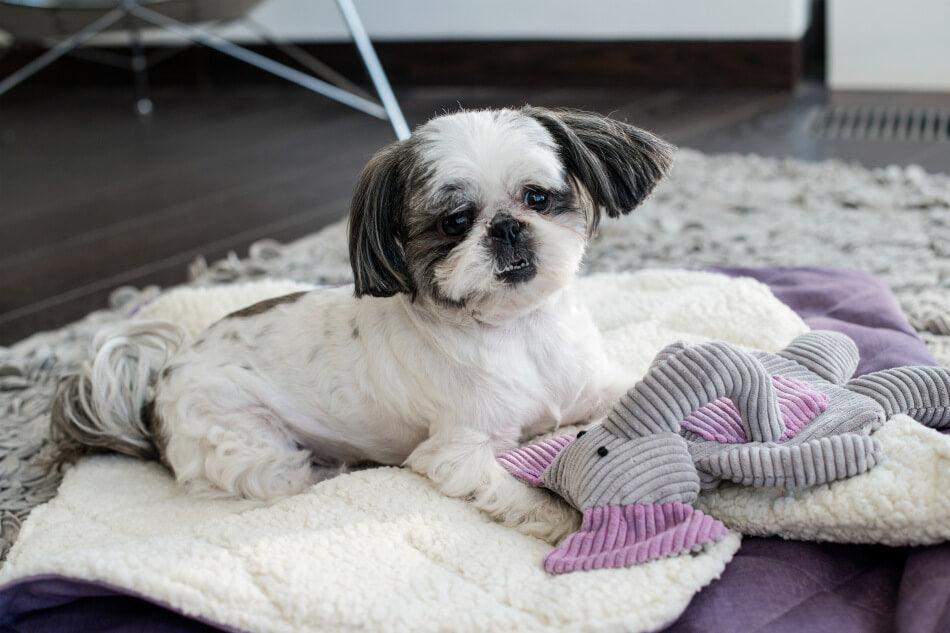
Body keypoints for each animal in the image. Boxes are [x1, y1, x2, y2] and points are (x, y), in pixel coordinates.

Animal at [54, 106, 676, 540]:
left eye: (539, 198)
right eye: (455, 222)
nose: (506, 227)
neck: (517, 332)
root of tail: (156, 388)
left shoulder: (591, 387)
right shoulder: (457, 451)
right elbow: (524, 493)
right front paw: (572, 521)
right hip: (249, 445)